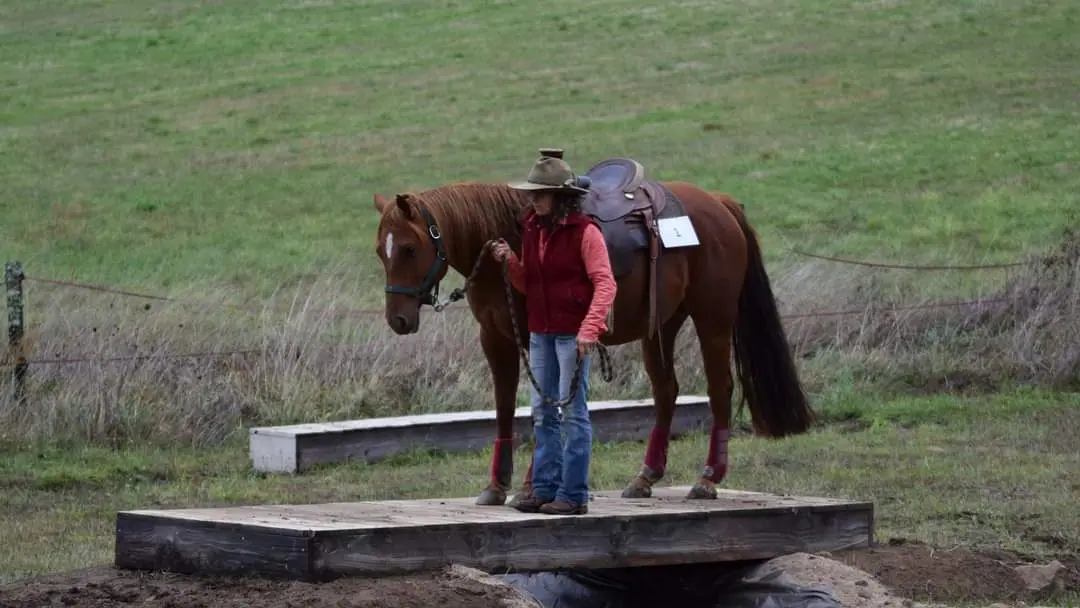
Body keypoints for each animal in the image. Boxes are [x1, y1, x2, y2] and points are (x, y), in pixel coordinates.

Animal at [371, 159, 812, 507]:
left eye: (409, 248)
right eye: (380, 250)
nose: (398, 320)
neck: (513, 235)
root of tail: (718, 203)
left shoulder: (537, 337)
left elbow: (544, 409)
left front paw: (529, 487)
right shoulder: (496, 339)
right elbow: (504, 408)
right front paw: (496, 486)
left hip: (713, 319)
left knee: (720, 388)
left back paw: (707, 479)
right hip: (661, 325)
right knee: (665, 390)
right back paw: (645, 477)